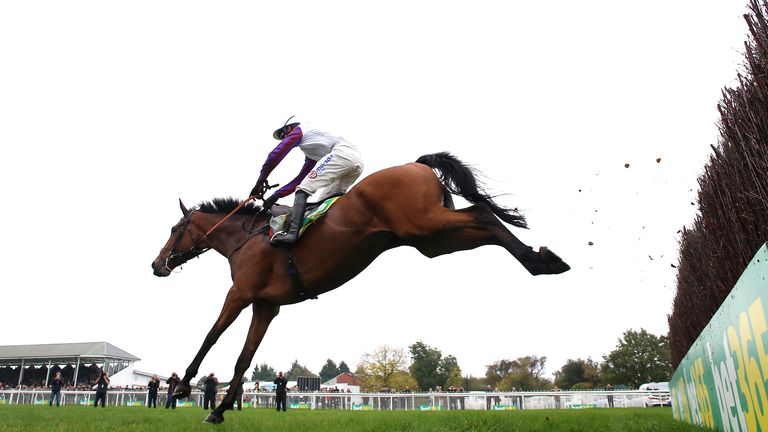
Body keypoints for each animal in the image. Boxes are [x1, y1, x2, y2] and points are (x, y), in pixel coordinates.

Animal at [152, 152, 568, 422]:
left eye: (173, 229)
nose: (157, 264)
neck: (245, 238)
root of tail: (417, 164)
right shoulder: (266, 306)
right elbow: (244, 358)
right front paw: (220, 411)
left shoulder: (239, 295)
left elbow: (210, 336)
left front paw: (182, 387)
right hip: (431, 240)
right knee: (484, 222)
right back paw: (542, 260)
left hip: (425, 224)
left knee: (483, 213)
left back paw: (542, 259)